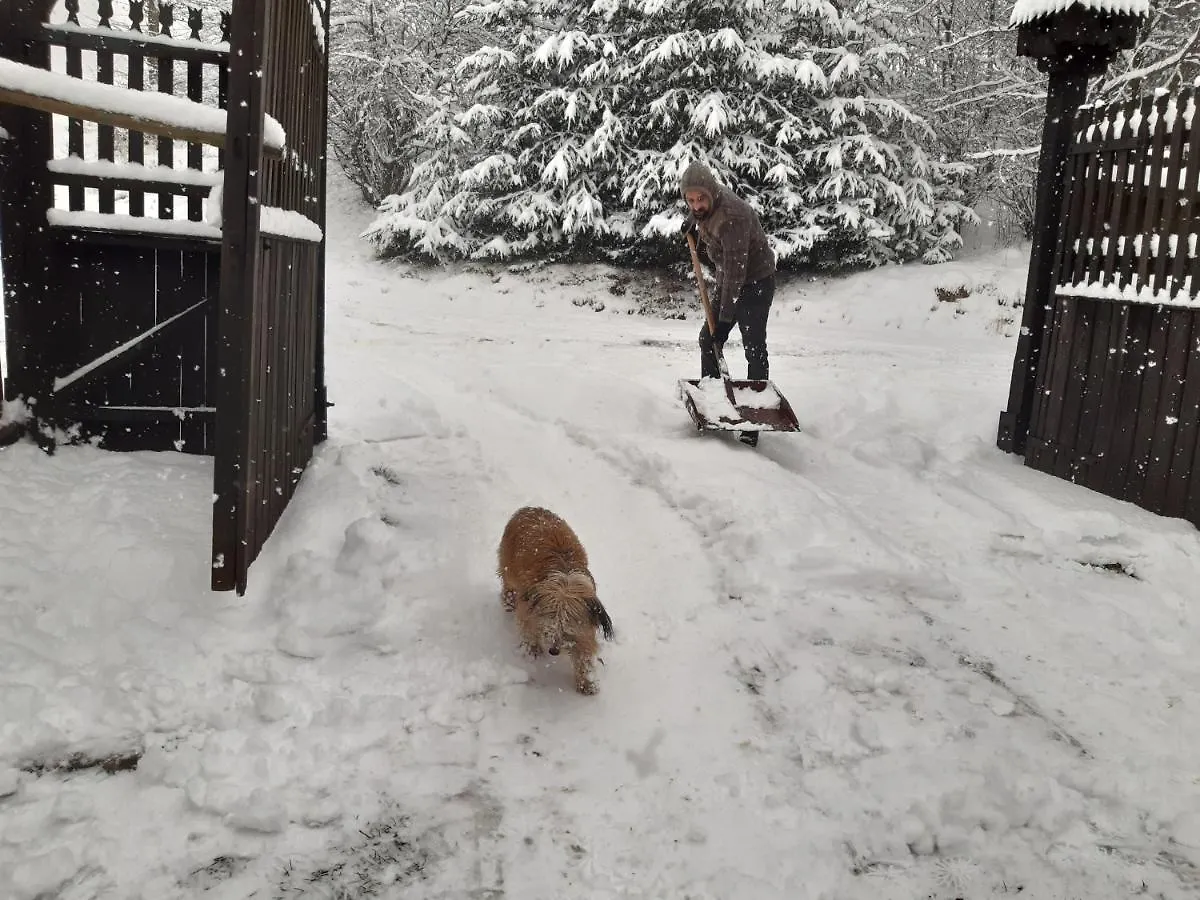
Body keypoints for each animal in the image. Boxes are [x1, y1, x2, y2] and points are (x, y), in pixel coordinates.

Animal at [497, 506, 614, 695]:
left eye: (569, 621)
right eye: (551, 615)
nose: (553, 650)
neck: (564, 578)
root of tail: (528, 509)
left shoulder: (585, 625)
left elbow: (584, 651)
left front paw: (585, 683)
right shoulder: (528, 608)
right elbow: (528, 628)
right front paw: (534, 649)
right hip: (509, 565)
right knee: (508, 583)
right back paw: (508, 600)